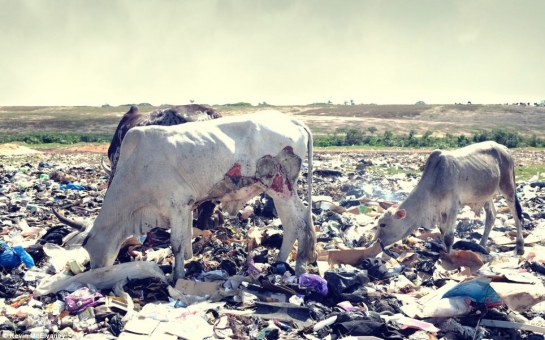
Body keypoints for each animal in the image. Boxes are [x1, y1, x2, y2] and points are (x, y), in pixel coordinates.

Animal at [54, 111, 314, 282]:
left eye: (88, 245)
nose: (96, 270)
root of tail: (294, 121)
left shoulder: (177, 204)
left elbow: (177, 244)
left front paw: (176, 277)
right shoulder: (186, 207)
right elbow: (187, 241)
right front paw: (188, 263)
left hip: (281, 187)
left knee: (302, 221)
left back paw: (300, 266)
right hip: (278, 192)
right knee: (292, 223)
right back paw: (280, 262)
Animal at [374, 141, 524, 255]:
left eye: (383, 224)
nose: (376, 242)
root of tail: (504, 148)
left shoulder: (453, 205)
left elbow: (448, 237)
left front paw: (449, 255)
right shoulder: (441, 211)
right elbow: (443, 232)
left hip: (508, 188)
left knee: (516, 216)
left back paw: (520, 246)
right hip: (486, 195)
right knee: (491, 215)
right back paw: (481, 245)